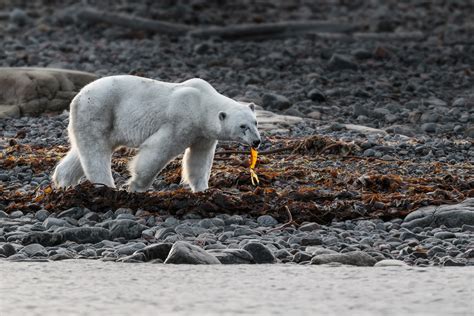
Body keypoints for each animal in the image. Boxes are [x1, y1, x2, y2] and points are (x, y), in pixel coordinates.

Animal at [53, 76, 262, 193]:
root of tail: (78, 96)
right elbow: (157, 150)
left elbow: (198, 161)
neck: (202, 103)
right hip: (98, 110)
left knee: (82, 152)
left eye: (255, 122)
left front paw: (203, 189)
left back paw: (63, 182)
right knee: (95, 151)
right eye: (242, 126)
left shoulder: (203, 134)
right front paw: (136, 186)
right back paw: (107, 186)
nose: (257, 141)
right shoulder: (181, 120)